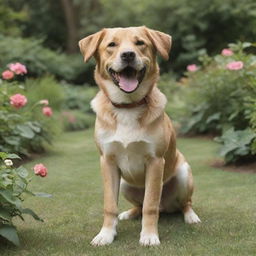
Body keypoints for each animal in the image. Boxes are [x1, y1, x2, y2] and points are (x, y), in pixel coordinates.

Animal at [79, 25, 201, 246]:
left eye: (140, 43)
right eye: (112, 44)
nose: (128, 55)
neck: (128, 106)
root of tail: (166, 206)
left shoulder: (155, 161)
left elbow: (150, 205)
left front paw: (149, 236)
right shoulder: (107, 161)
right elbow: (110, 205)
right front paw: (106, 234)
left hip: (183, 174)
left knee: (183, 203)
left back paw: (190, 216)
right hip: (125, 184)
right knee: (139, 205)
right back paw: (129, 213)